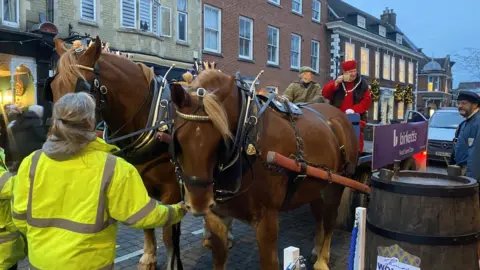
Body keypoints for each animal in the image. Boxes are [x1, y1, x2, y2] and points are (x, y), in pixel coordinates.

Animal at [167, 68, 358, 268]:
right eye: (177, 140)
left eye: (222, 139)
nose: (199, 203)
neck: (248, 134)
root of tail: (340, 117)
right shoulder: (216, 215)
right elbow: (219, 259)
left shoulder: (267, 219)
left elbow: (269, 262)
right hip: (315, 186)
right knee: (319, 214)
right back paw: (317, 250)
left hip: (337, 185)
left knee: (329, 219)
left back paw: (322, 259)